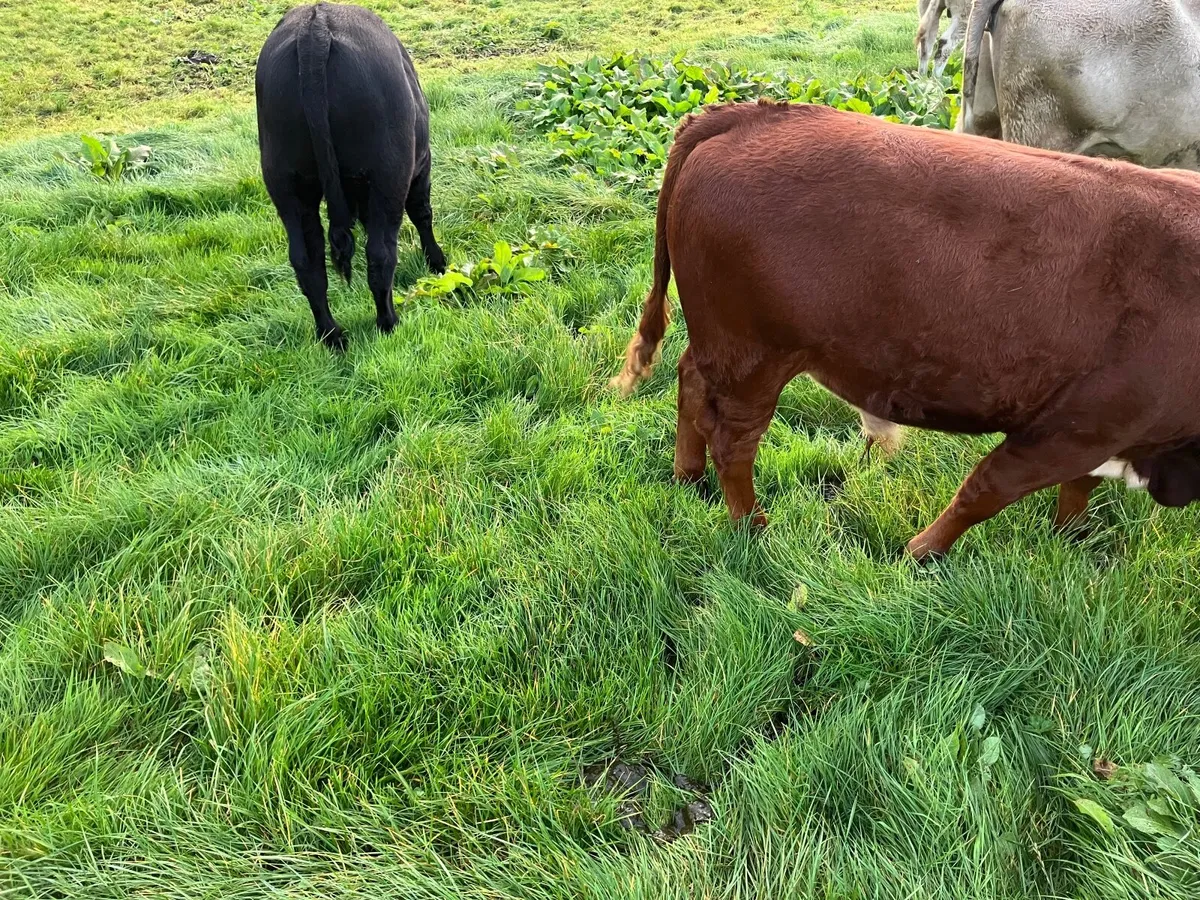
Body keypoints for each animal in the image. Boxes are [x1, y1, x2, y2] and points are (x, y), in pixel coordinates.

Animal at [255, 2, 446, 351]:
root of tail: (315, 26)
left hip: (285, 182)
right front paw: (437, 262)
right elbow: (423, 213)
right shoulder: (422, 163)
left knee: (307, 261)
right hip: (390, 172)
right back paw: (388, 322)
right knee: (380, 253)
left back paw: (332, 335)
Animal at [612, 100, 1200, 559]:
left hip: (724, 346)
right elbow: (986, 490)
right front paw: (921, 553)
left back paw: (688, 478)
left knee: (690, 382)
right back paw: (753, 528)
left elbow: (1076, 489)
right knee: (734, 441)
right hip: (755, 357)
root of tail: (743, 115)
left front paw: (1071, 538)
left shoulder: (1099, 433)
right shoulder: (1074, 428)